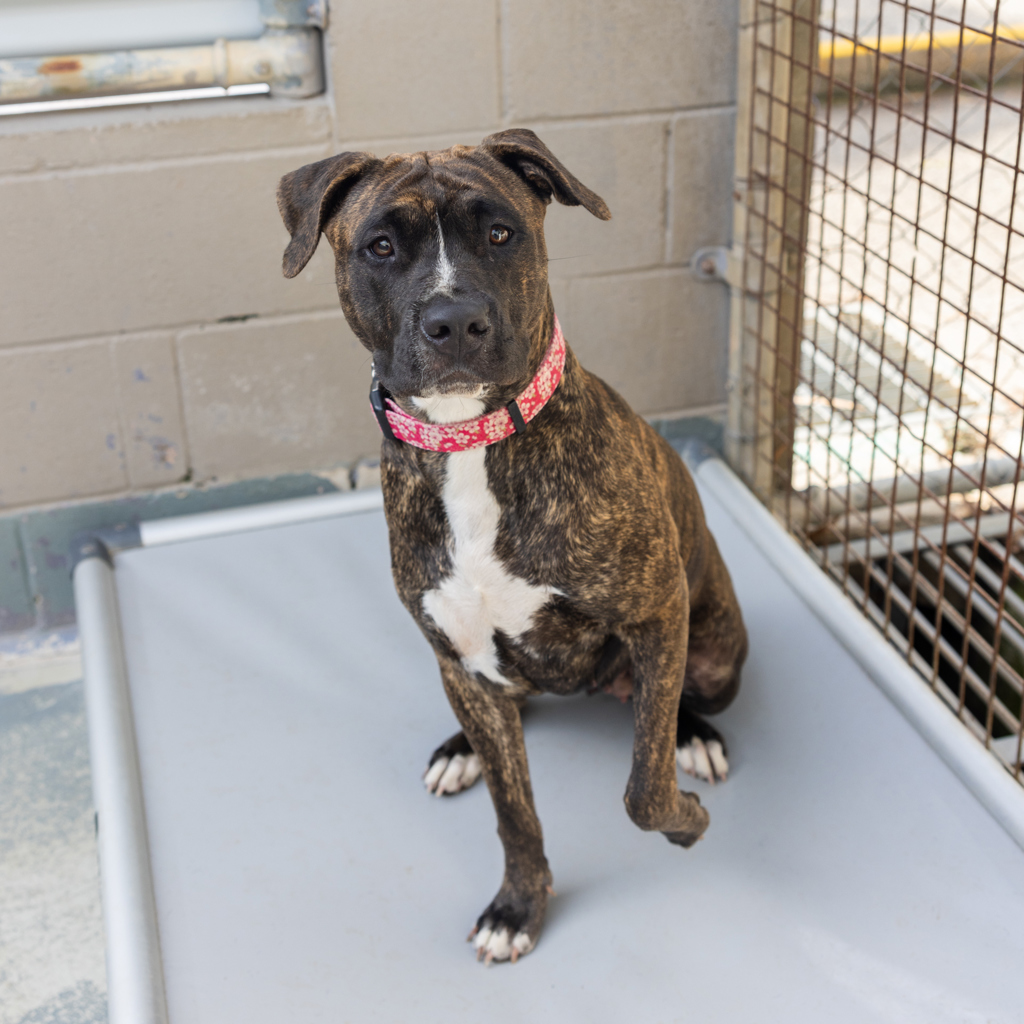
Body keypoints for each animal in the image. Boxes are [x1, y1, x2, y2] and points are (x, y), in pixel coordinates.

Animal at [276, 130, 748, 965]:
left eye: (501, 233)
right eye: (381, 246)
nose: (454, 321)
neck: (471, 442)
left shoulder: (656, 613)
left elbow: (644, 787)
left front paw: (686, 819)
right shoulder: (459, 653)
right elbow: (514, 814)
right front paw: (517, 907)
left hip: (717, 644)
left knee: (677, 700)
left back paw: (695, 734)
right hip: (463, 672)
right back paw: (460, 747)